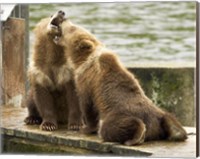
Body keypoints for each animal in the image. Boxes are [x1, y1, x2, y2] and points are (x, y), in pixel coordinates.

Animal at [52, 10, 188, 145]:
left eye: (72, 27)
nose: (62, 15)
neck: (81, 59)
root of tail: (154, 127)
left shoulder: (87, 80)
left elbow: (87, 104)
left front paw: (85, 128)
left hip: (117, 114)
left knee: (112, 127)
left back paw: (136, 135)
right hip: (160, 114)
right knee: (171, 118)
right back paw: (178, 133)